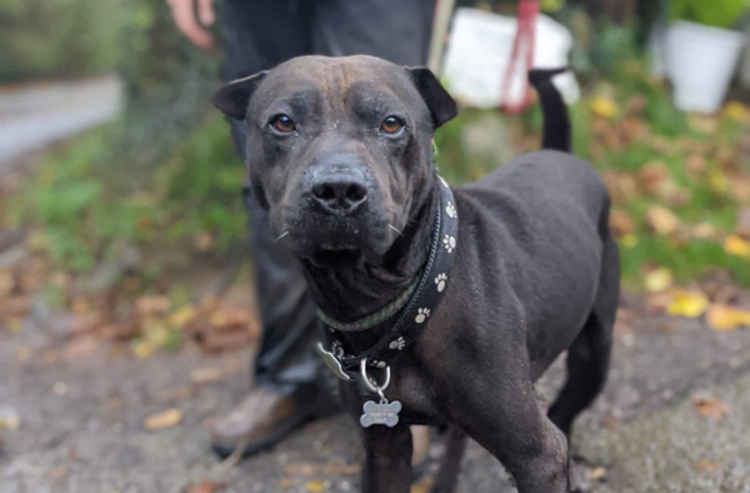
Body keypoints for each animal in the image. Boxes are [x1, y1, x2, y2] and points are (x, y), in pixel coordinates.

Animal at [214, 55, 620, 490]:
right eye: (283, 122)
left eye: (392, 123)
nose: (338, 189)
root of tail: (557, 152)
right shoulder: (382, 448)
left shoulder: (538, 457)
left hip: (592, 356)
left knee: (566, 409)